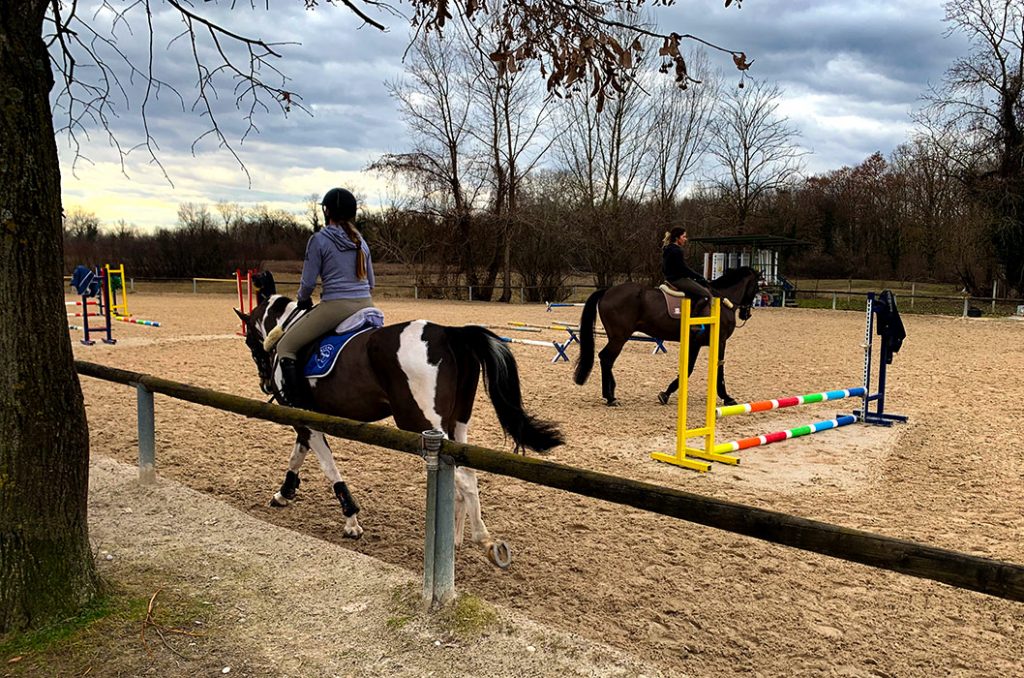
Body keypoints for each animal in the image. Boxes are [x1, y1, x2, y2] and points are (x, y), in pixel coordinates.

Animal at [235, 272, 565, 569]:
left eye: (250, 340)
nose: (265, 383)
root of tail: (449, 333)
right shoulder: (304, 418)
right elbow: (297, 456)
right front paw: (284, 493)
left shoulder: (306, 419)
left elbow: (327, 466)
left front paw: (350, 520)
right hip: (456, 426)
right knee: (466, 474)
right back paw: (456, 539)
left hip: (422, 424)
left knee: (462, 478)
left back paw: (483, 540)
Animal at [573, 268, 757, 409]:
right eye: (756, 287)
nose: (746, 314)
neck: (722, 301)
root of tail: (607, 291)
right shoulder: (719, 341)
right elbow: (716, 368)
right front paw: (727, 397)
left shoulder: (695, 343)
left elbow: (689, 368)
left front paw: (666, 393)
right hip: (619, 337)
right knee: (606, 358)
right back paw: (610, 397)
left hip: (616, 337)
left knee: (606, 359)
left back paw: (610, 393)